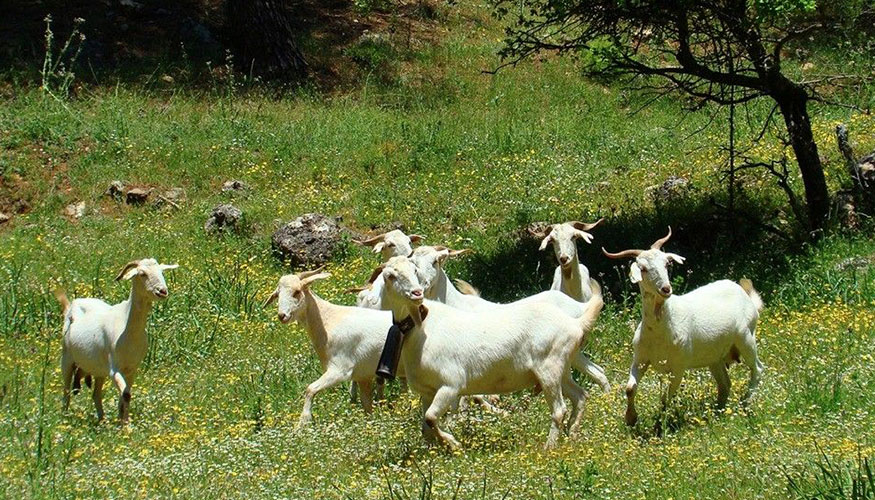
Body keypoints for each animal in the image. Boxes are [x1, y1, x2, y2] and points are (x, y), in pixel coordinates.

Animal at [58, 258, 178, 423]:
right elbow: (126, 394)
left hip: (99, 369)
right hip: (67, 358)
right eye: (142, 274)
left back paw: (102, 420)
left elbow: (125, 396)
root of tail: (72, 304)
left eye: (161, 271)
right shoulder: (114, 369)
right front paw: (125, 425)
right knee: (66, 390)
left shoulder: (132, 369)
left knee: (96, 394)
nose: (162, 291)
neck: (128, 329)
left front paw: (122, 422)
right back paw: (64, 416)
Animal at [603, 227, 764, 426]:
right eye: (643, 268)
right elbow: (630, 388)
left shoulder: (679, 367)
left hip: (746, 338)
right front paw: (631, 418)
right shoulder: (640, 359)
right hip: (715, 356)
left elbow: (666, 398)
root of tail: (745, 295)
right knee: (725, 383)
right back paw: (718, 412)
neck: (661, 330)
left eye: (667, 264)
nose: (666, 289)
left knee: (757, 368)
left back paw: (746, 402)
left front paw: (660, 424)